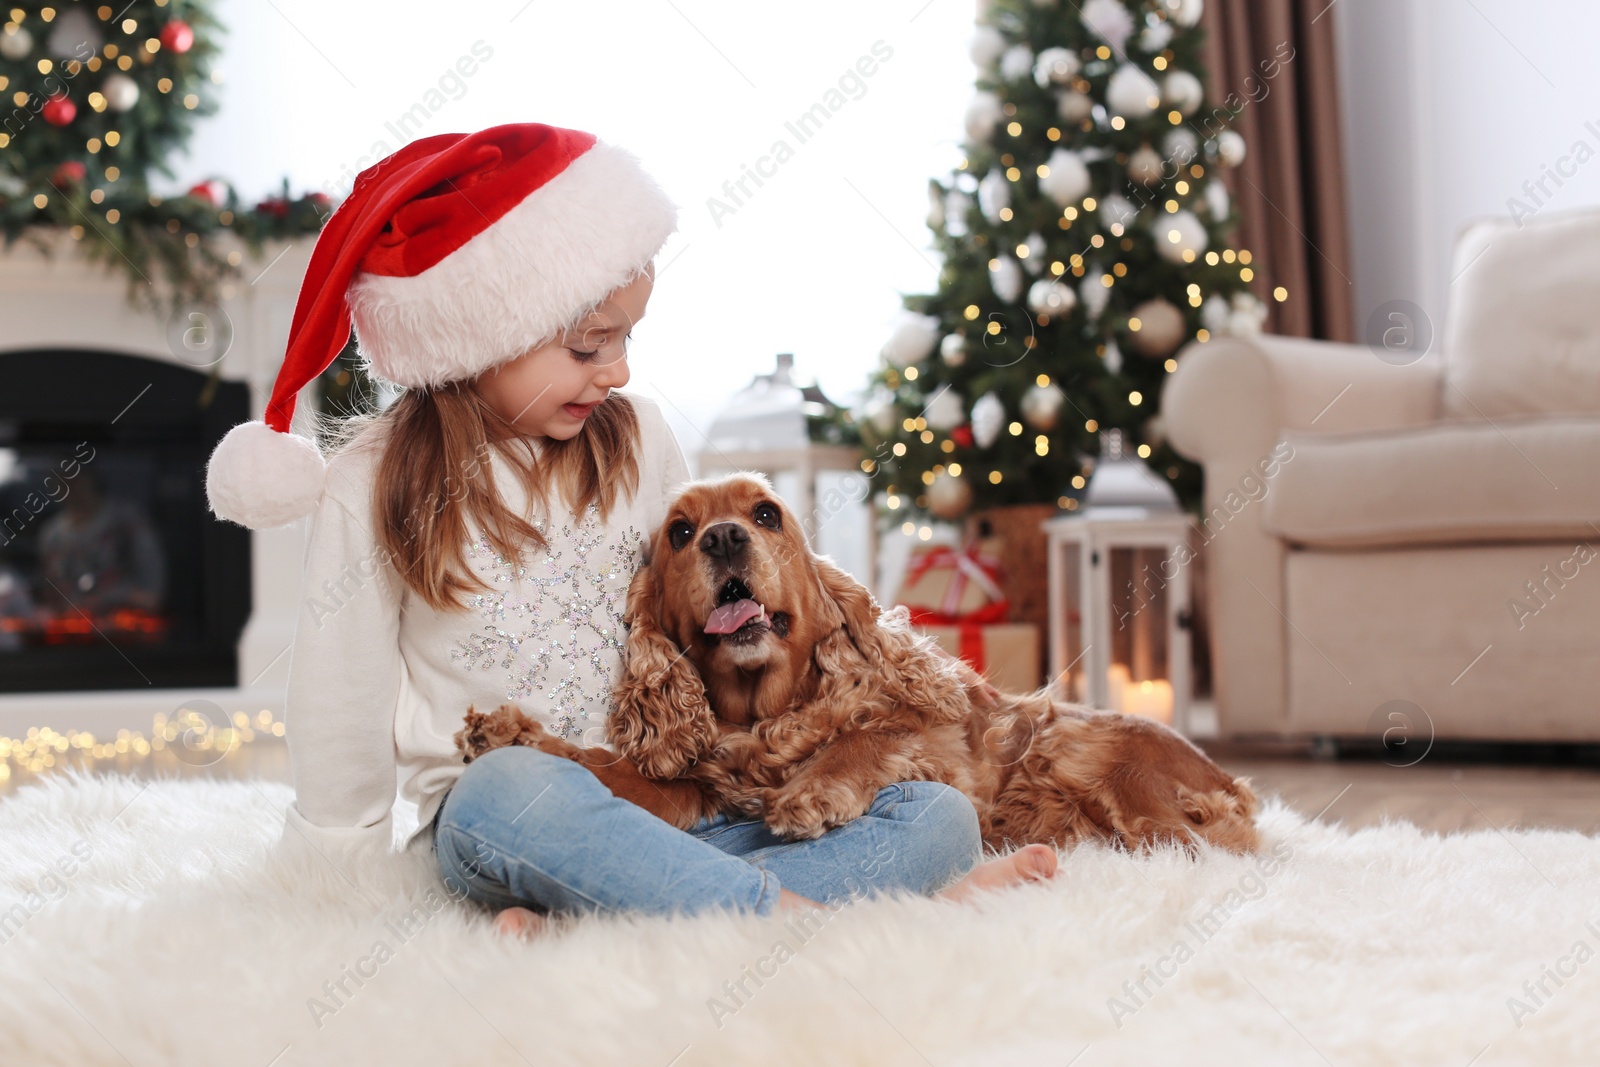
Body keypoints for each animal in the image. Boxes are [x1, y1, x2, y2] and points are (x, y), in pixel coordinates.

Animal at [457, 473, 1254, 851]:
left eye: (766, 514)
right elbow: (601, 766)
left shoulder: (943, 748)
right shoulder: (691, 788)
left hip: (1091, 760)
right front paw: (508, 734)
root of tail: (1231, 780)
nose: (723, 538)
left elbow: (871, 735)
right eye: (680, 531)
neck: (767, 715)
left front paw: (811, 793)